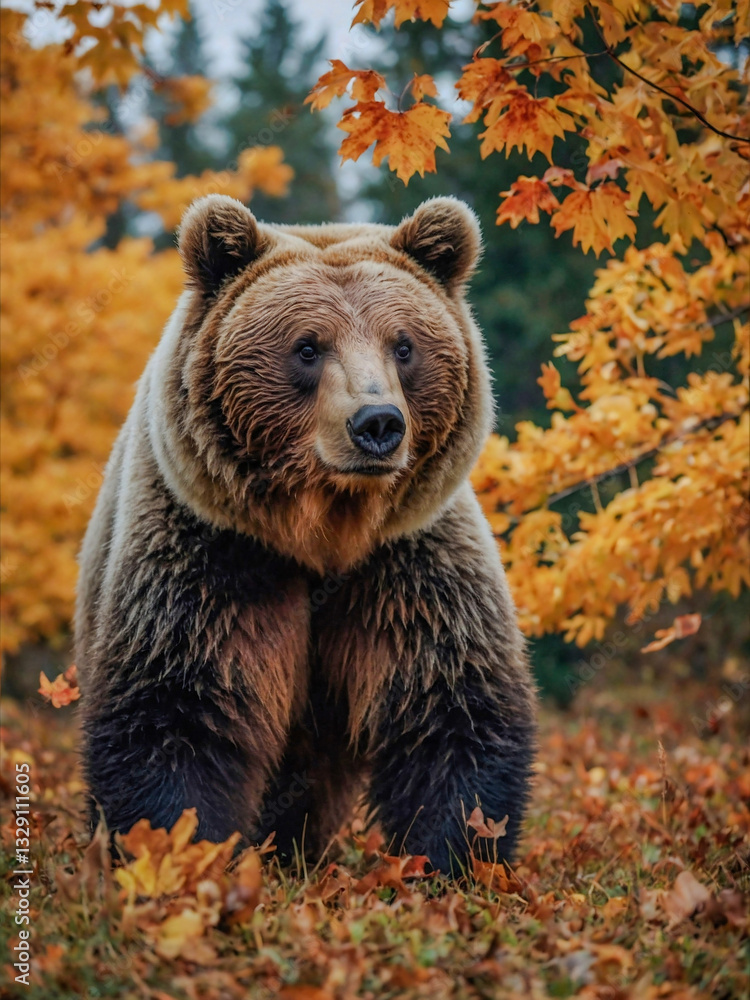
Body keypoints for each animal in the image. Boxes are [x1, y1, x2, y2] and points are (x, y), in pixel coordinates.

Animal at [75, 193, 537, 874]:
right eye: (308, 347)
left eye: (404, 345)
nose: (377, 424)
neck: (324, 532)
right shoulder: (213, 555)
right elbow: (173, 706)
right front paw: (179, 851)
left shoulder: (408, 564)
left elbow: (450, 702)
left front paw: (452, 860)